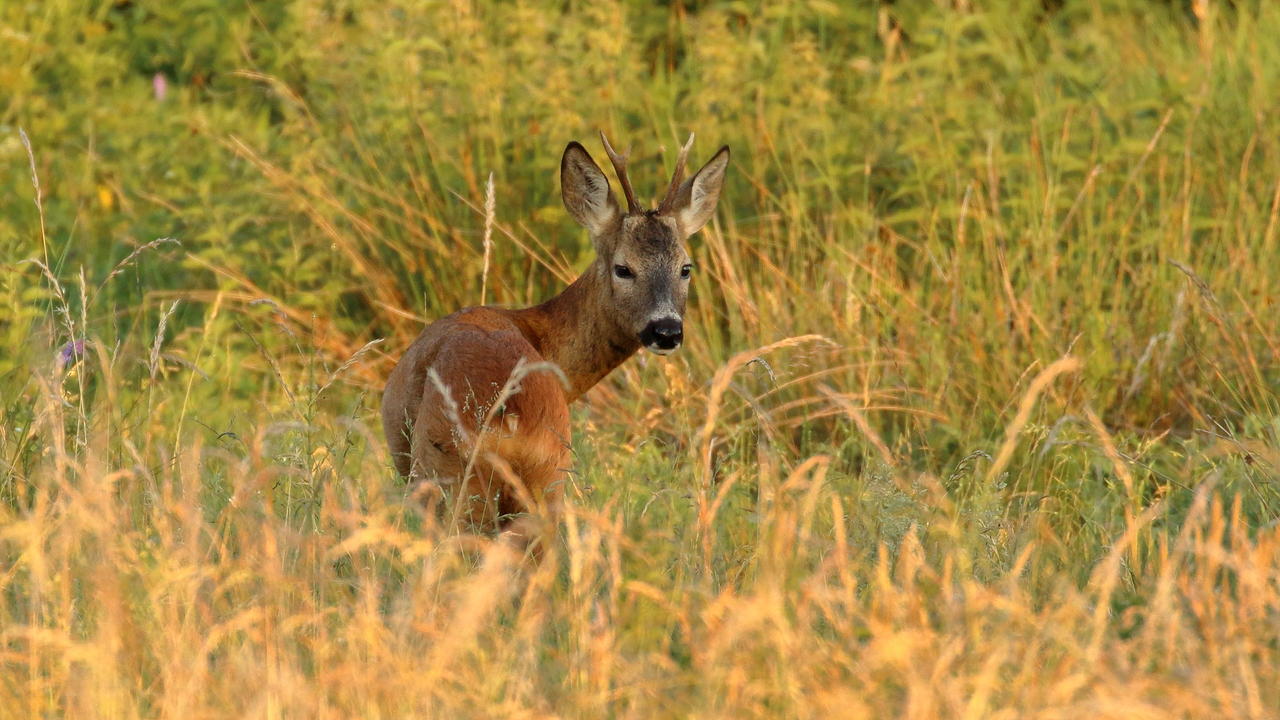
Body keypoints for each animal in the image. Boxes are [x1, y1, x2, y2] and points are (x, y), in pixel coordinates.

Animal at [378, 131, 732, 540]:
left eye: (685, 268)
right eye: (623, 268)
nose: (667, 330)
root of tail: (507, 421)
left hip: (447, 477)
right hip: (537, 479)